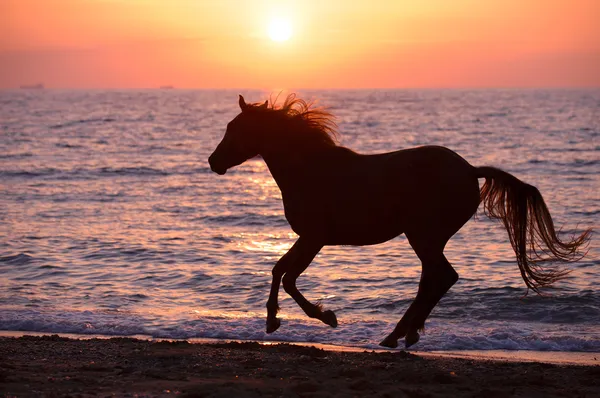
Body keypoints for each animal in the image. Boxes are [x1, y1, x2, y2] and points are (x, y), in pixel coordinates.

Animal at [207, 94, 592, 348]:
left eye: (236, 128)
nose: (213, 161)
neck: (310, 170)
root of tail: (469, 170)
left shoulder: (315, 238)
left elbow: (288, 278)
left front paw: (325, 317)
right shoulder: (308, 238)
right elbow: (277, 271)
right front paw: (272, 321)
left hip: (422, 235)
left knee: (441, 277)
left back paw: (396, 336)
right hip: (427, 238)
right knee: (434, 279)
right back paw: (403, 335)